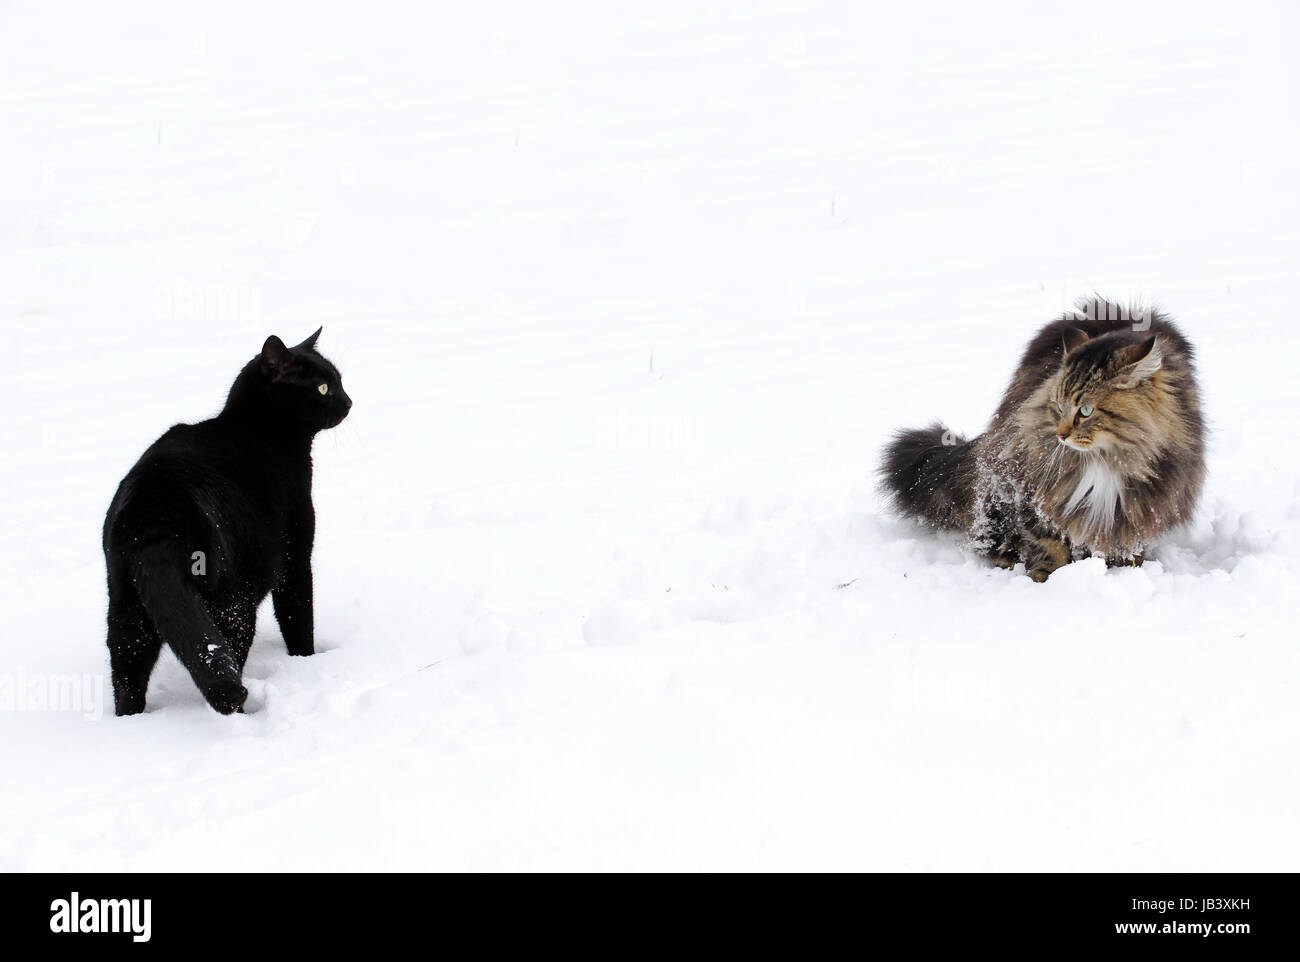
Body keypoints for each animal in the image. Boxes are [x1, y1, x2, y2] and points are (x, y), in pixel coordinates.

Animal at [103, 330, 351, 712]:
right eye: (324, 388)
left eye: (339, 380)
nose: (349, 401)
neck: (258, 429)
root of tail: (155, 512)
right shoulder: (294, 556)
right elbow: (297, 616)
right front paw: (306, 662)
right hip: (234, 605)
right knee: (228, 658)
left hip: (125, 607)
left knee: (127, 668)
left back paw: (131, 720)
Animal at [878, 300, 1201, 582]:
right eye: (1057, 406)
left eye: (1085, 410)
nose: (1061, 434)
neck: (1103, 460)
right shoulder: (1034, 491)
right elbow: (1048, 543)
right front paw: (1046, 578)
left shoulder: (1143, 505)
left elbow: (1125, 542)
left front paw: (1125, 569)